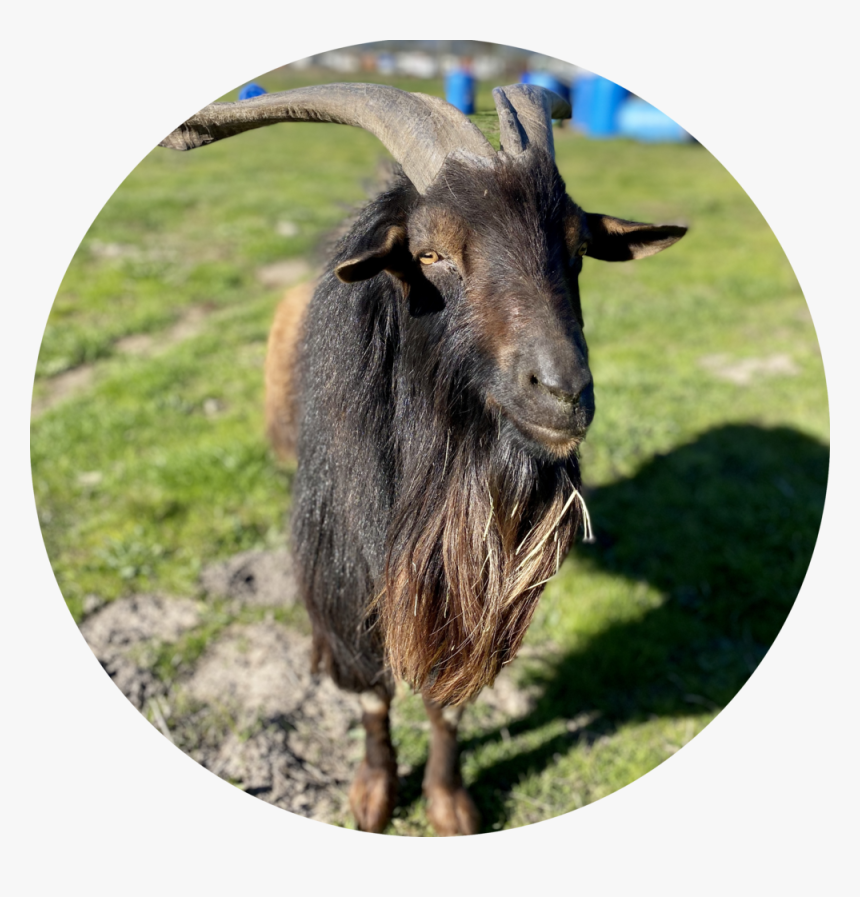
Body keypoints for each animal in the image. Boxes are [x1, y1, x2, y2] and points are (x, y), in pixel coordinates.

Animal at [161, 82, 686, 835]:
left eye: (578, 247)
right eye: (432, 253)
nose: (563, 393)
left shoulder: (466, 589)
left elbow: (446, 699)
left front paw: (449, 800)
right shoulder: (343, 577)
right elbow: (372, 692)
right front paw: (374, 794)